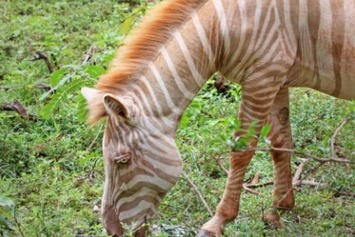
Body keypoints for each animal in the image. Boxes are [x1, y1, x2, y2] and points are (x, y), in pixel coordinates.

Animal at [81, 0, 355, 236]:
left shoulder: (262, 77)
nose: (112, 231)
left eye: (122, 161)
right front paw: (278, 210)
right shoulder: (277, 78)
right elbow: (280, 144)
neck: (220, 28)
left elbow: (241, 150)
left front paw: (218, 222)